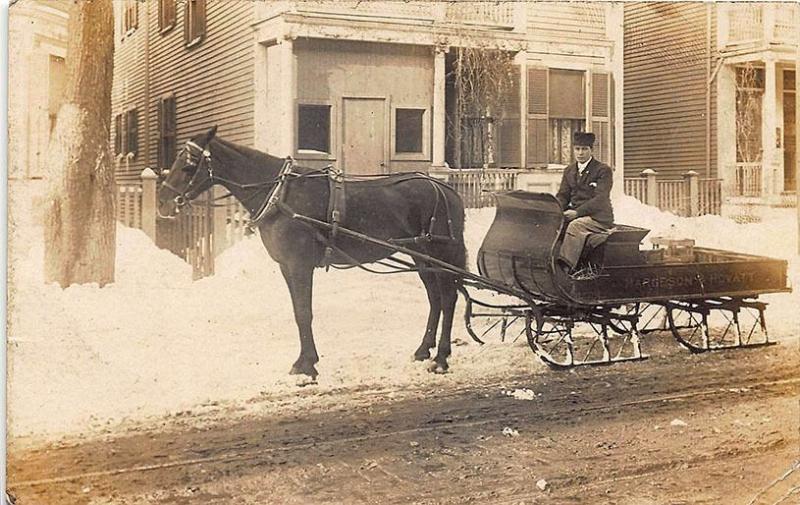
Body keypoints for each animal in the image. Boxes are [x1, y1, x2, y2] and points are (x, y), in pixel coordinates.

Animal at [156, 126, 466, 382]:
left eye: (188, 165)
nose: (163, 203)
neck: (280, 194)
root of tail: (447, 189)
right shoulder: (286, 267)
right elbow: (297, 312)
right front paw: (305, 361)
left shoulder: (299, 265)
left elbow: (305, 313)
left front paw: (306, 366)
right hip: (420, 255)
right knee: (435, 298)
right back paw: (423, 350)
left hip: (440, 252)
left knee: (448, 297)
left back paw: (441, 358)